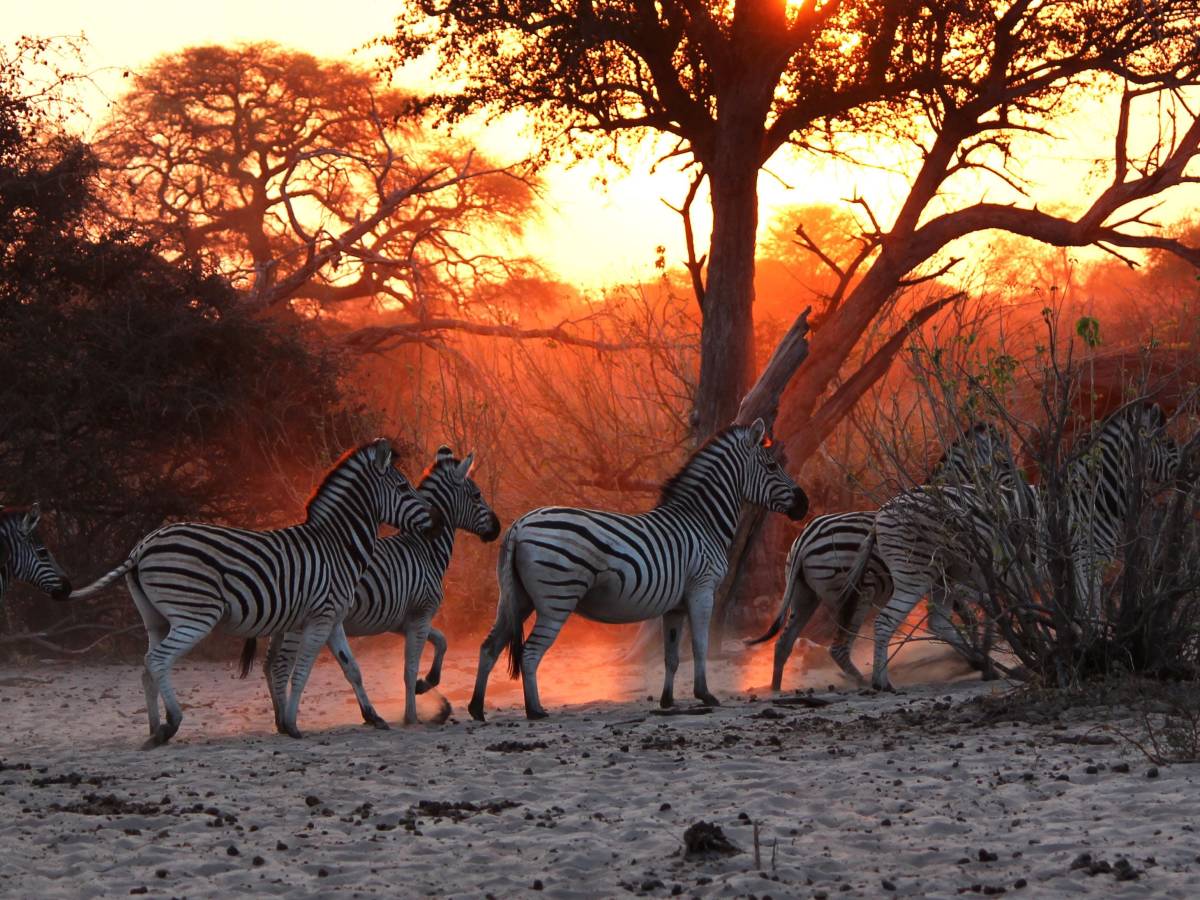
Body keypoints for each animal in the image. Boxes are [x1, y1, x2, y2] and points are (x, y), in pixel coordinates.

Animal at [69, 440, 434, 745]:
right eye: (404, 487)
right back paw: (172, 722)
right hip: (195, 615)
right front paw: (292, 725)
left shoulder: (333, 620)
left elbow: (352, 668)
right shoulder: (319, 618)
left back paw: (154, 729)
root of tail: (142, 547)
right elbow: (301, 672)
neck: (337, 545)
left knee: (148, 665)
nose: (434, 522)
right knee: (158, 661)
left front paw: (373, 716)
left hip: (155, 619)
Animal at [245, 446, 500, 728]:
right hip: (299, 622)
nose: (498, 527)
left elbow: (442, 642)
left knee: (269, 665)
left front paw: (425, 684)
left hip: (283, 621)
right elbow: (410, 668)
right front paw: (412, 715)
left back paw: (280, 719)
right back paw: (286, 721)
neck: (424, 549)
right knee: (280, 666)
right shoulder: (421, 614)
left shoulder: (403, 621)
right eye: (477, 495)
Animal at [468, 418, 808, 721]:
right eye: (772, 467)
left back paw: (477, 709)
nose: (804, 504)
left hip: (516, 599)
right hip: (556, 600)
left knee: (488, 647)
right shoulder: (702, 589)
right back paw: (535, 710)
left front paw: (668, 701)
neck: (702, 522)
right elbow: (699, 645)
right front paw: (705, 695)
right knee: (529, 653)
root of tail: (519, 526)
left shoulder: (675, 605)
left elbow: (671, 655)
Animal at [748, 423, 1013, 691]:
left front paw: (981, 658)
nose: (1015, 487)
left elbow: (970, 616)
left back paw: (777, 689)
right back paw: (866, 682)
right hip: (856, 596)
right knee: (839, 648)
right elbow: (976, 613)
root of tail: (804, 539)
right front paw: (983, 660)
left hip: (805, 595)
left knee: (784, 643)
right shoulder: (951, 578)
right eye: (1005, 463)